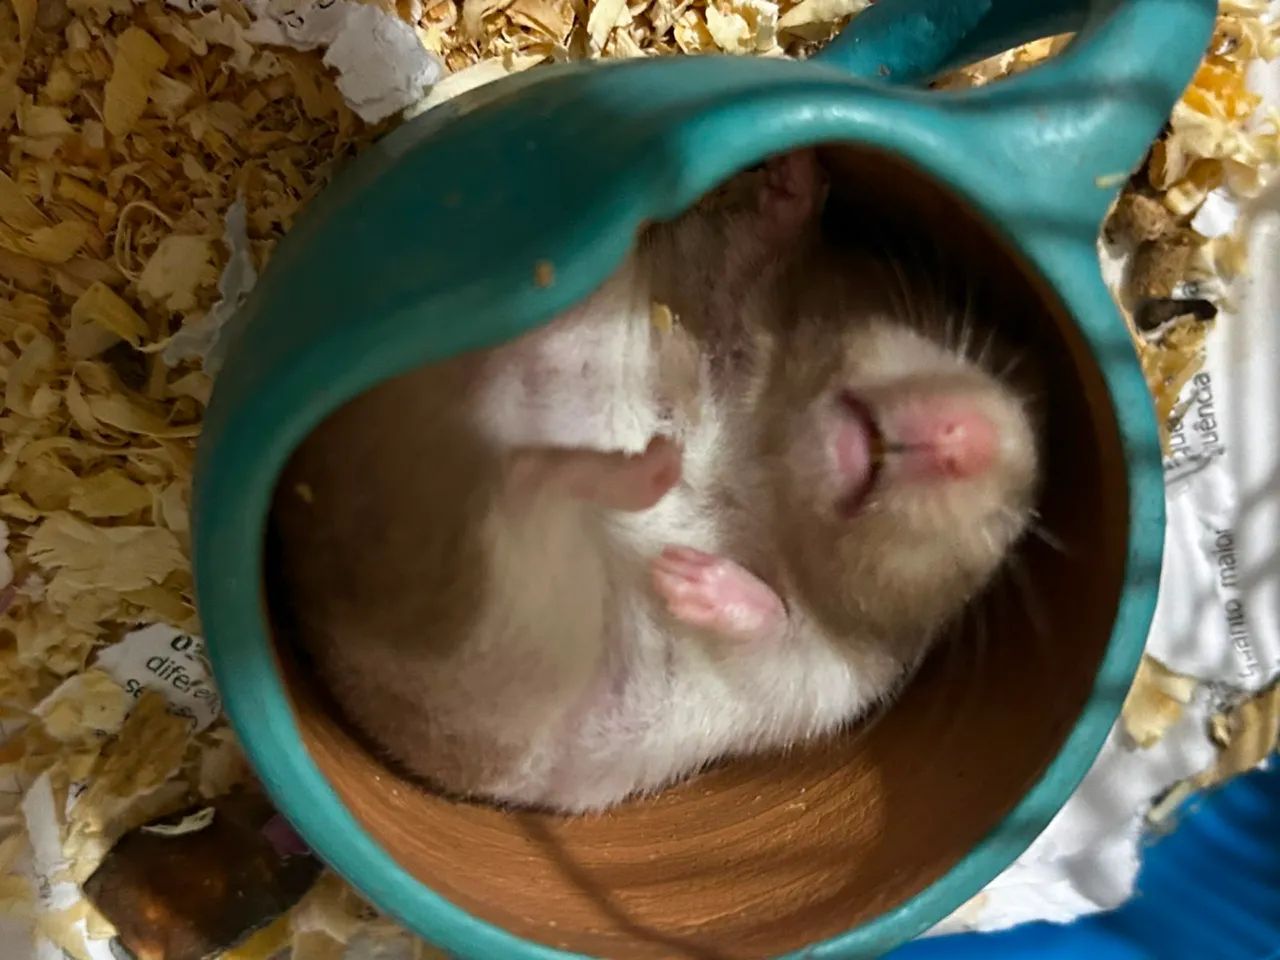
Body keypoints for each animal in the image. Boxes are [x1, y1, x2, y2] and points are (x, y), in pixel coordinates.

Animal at [269, 150, 1042, 814]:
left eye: (1011, 526)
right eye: (962, 348)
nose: (964, 439)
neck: (764, 465)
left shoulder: (829, 684)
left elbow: (775, 635)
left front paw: (687, 578)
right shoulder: (718, 303)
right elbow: (747, 259)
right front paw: (800, 171)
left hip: (518, 631)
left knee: (520, 485)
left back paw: (644, 469)